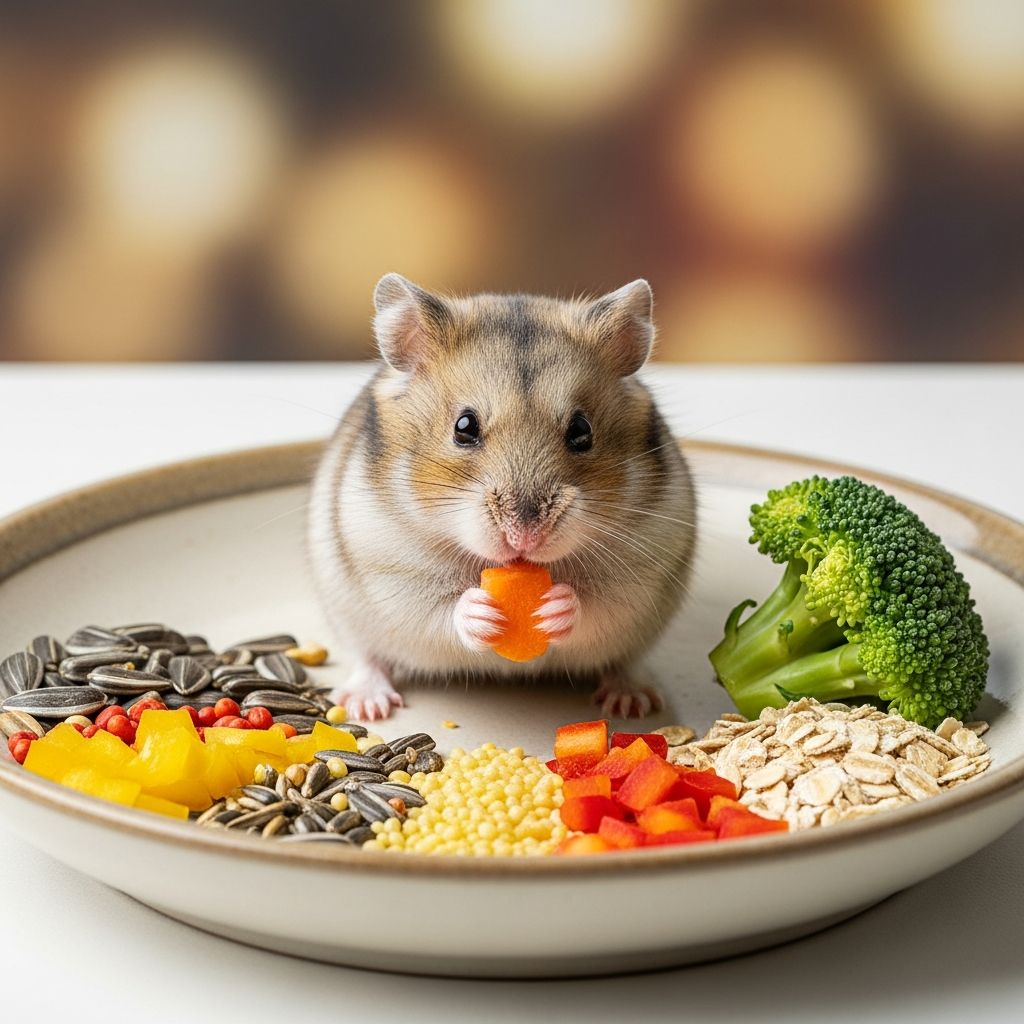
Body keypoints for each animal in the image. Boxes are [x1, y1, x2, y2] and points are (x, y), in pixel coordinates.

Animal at [307, 273, 696, 721]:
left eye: (581, 431)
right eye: (463, 427)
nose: (524, 537)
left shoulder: (640, 572)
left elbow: (596, 605)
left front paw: (555, 606)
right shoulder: (392, 570)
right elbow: (440, 609)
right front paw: (480, 611)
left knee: (625, 663)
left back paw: (632, 702)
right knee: (367, 656)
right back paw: (368, 706)